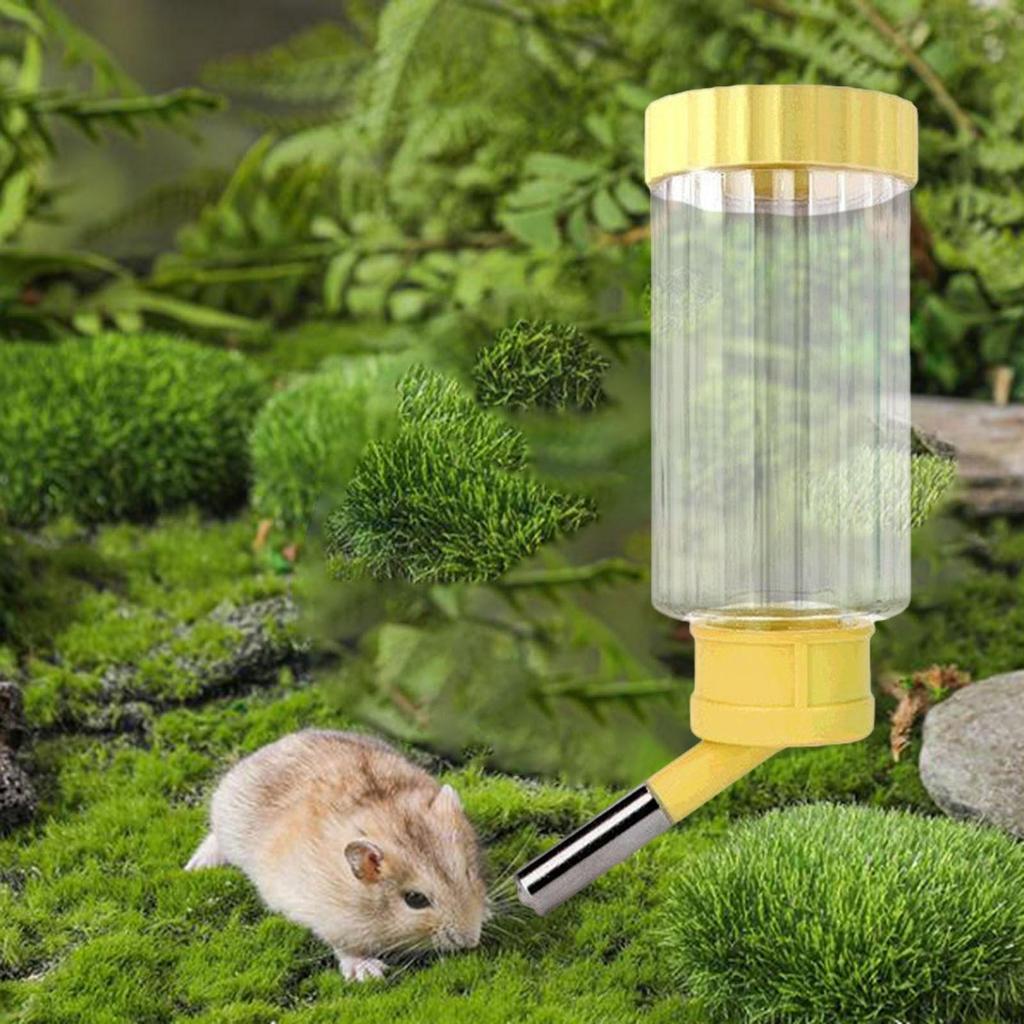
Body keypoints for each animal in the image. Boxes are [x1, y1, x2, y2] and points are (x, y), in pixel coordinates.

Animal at [185, 729, 488, 982]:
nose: (472, 940)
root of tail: (273, 745)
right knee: (214, 838)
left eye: (468, 873)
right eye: (415, 899)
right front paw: (369, 974)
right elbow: (345, 946)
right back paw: (196, 866)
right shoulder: (329, 918)